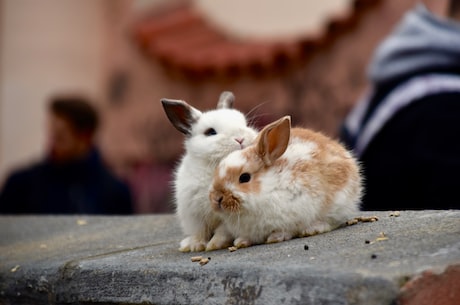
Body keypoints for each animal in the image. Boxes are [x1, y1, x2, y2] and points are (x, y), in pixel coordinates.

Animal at [161, 91, 258, 252]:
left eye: (245, 124)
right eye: (210, 132)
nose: (240, 138)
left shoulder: (226, 217)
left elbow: (222, 231)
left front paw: (214, 245)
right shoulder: (194, 215)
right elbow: (200, 232)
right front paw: (196, 246)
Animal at [208, 115, 362, 248]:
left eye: (244, 178)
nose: (217, 198)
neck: (268, 188)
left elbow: (286, 229)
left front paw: (276, 237)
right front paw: (241, 242)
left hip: (338, 204)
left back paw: (313, 229)